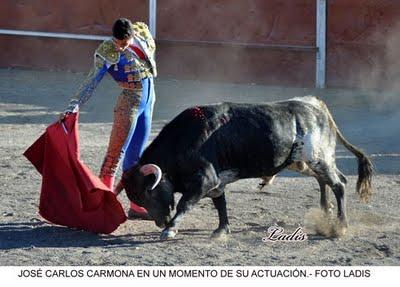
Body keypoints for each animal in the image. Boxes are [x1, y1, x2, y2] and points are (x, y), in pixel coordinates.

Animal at [115, 97, 372, 241]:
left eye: (148, 194)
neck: (184, 142)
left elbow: (184, 203)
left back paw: (340, 226)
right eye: (137, 197)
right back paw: (325, 213)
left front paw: (169, 231)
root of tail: (318, 110)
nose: (160, 222)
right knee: (327, 180)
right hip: (304, 162)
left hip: (317, 158)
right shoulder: (215, 182)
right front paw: (221, 230)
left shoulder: (205, 179)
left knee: (339, 184)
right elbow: (220, 203)